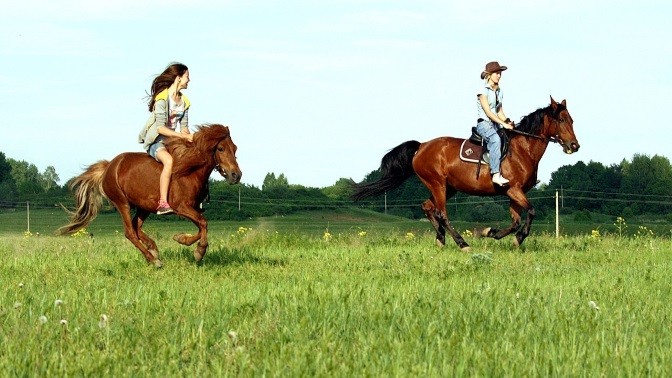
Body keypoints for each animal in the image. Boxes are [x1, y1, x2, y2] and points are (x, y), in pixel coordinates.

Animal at [57, 123, 242, 266]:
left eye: (235, 148)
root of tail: (109, 166)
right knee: (130, 232)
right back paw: (153, 260)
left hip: (144, 206)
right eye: (220, 148)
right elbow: (204, 223)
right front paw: (199, 252)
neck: (190, 170)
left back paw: (153, 249)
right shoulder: (181, 207)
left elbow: (201, 225)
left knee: (136, 227)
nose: (236, 175)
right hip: (122, 203)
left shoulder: (193, 208)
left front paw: (180, 238)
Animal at [354, 97, 580, 251]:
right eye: (561, 119)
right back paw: (462, 243)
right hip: (437, 183)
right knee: (441, 213)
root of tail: (421, 147)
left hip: (448, 187)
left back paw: (441, 239)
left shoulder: (513, 193)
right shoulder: (514, 190)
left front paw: (493, 233)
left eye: (572, 120)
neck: (522, 150)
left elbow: (516, 221)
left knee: (427, 207)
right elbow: (531, 212)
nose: (574, 146)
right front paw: (516, 238)